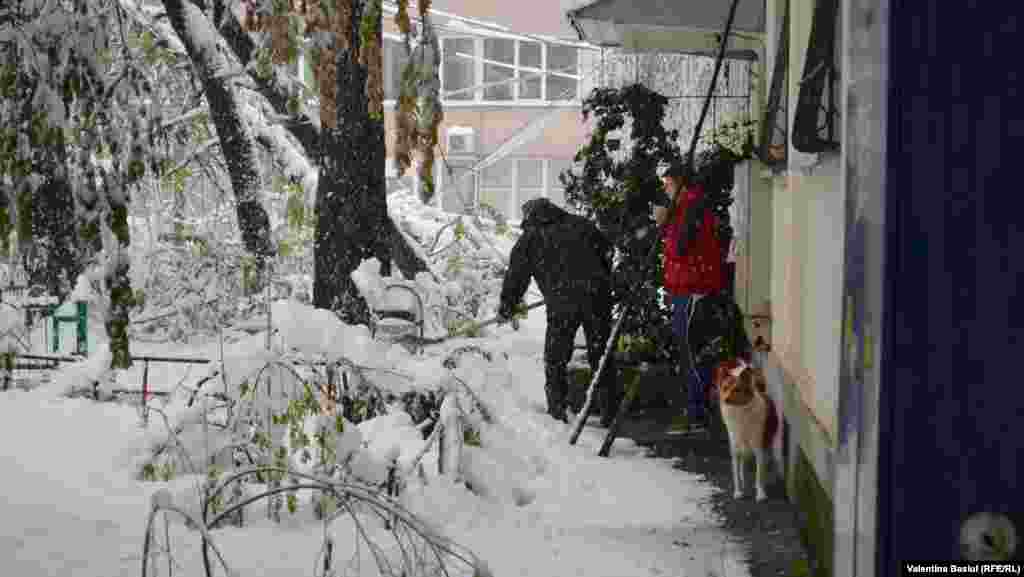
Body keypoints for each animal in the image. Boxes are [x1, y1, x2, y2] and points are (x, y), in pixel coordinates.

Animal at [716, 358, 778, 504]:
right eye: (725, 388)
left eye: (737, 389)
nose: (725, 399)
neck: (739, 412)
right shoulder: (735, 449)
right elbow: (736, 475)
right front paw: (738, 492)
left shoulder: (759, 449)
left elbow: (759, 475)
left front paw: (760, 494)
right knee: (741, 468)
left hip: (767, 444)